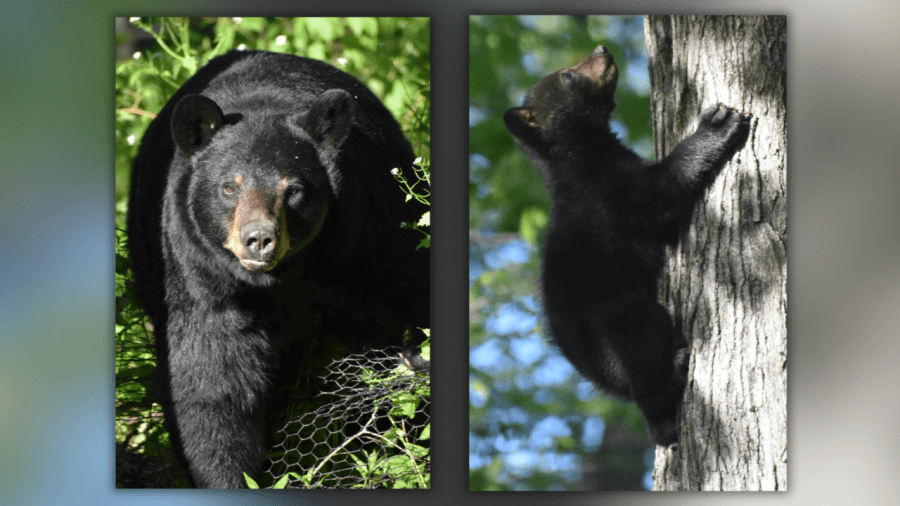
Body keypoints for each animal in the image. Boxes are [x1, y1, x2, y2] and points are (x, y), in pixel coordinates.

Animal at [126, 50, 430, 488]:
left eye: (294, 189)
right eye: (229, 187)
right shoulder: (200, 273)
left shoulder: (369, 241)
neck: (283, 277)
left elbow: (408, 311)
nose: (259, 238)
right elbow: (213, 378)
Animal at [503, 45, 750, 446]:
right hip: (612, 328)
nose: (601, 49)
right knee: (638, 332)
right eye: (567, 76)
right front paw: (717, 123)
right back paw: (669, 382)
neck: (577, 153)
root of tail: (603, 381)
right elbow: (662, 188)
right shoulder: (608, 189)